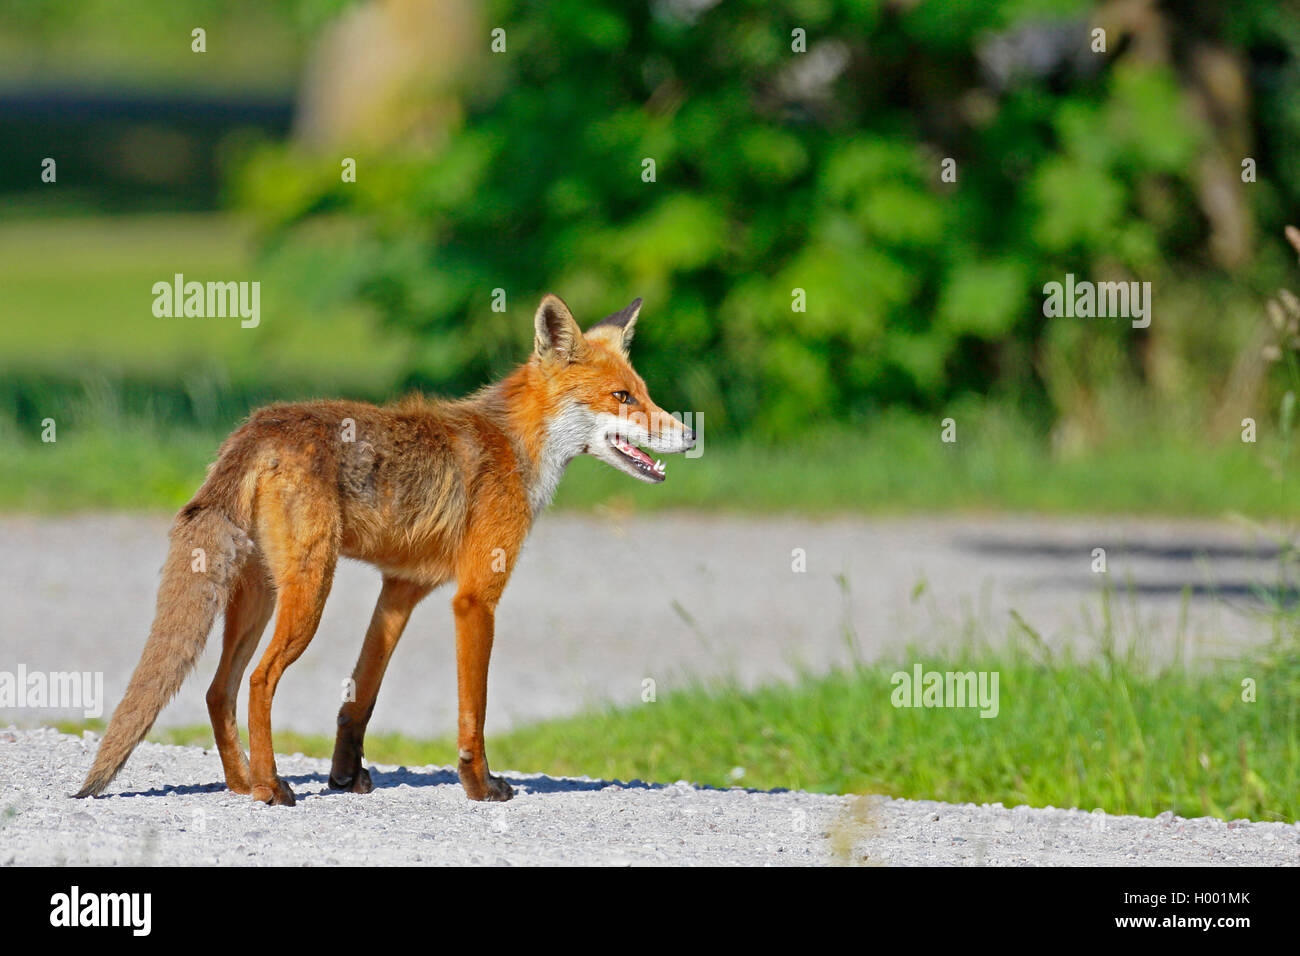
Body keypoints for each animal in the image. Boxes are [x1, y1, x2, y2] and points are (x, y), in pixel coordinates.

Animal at [77, 295, 696, 806]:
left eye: (644, 393)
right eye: (621, 397)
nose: (690, 433)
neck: (516, 446)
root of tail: (258, 425)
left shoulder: (401, 588)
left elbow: (361, 696)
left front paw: (345, 776)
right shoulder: (475, 598)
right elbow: (474, 709)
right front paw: (479, 785)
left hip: (257, 596)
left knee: (217, 689)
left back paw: (240, 781)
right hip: (308, 593)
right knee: (258, 681)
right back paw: (270, 788)